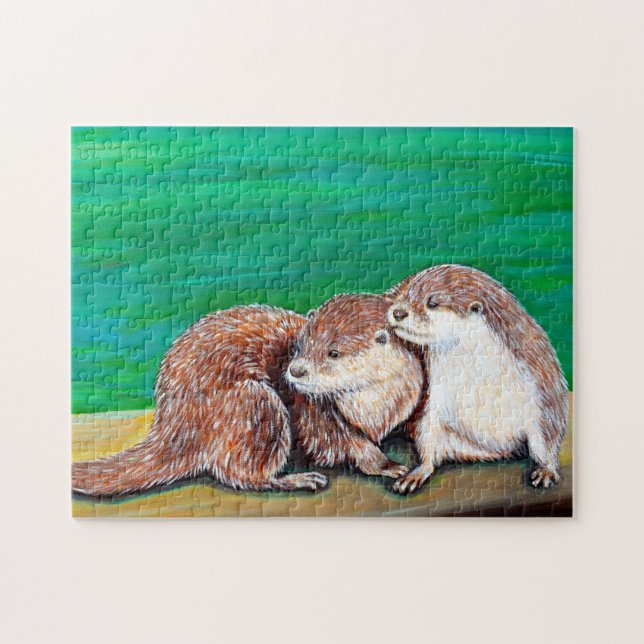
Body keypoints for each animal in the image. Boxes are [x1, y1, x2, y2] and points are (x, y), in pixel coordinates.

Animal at [288, 293, 424, 478]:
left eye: (334, 353)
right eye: (299, 347)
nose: (296, 370)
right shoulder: (316, 418)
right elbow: (350, 444)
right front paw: (387, 466)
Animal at [387, 264, 568, 494]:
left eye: (432, 303)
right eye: (402, 296)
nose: (398, 312)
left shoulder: (541, 389)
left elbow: (546, 435)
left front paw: (547, 470)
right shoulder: (435, 398)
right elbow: (428, 433)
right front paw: (419, 471)